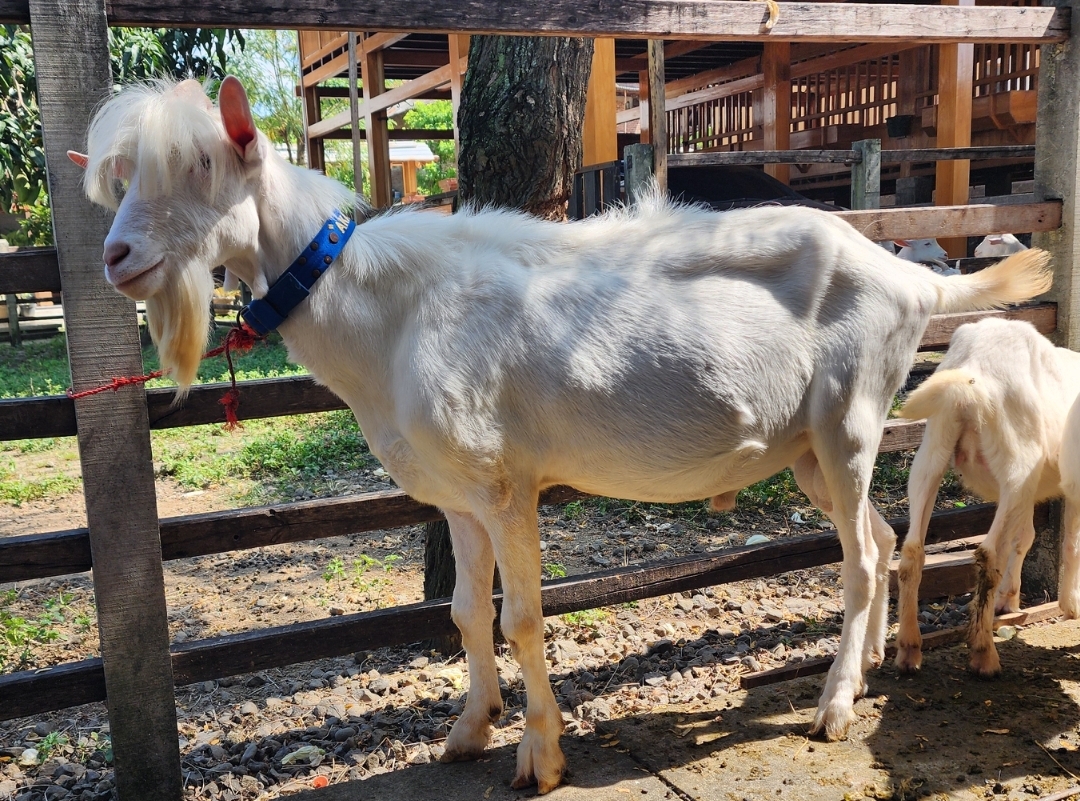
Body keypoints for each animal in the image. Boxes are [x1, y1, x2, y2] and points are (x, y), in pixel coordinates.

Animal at [69, 77, 1052, 793]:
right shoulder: (457, 495)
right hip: (809, 446)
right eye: (122, 179)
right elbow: (465, 612)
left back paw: (836, 704)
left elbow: (523, 616)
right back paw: (883, 656)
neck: (388, 314)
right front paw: (468, 729)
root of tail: (912, 279)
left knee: (859, 557)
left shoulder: (507, 487)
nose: (115, 258)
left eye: (205, 163)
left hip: (848, 419)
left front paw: (539, 755)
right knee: (880, 539)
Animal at [895, 318, 1080, 677]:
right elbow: (1069, 544)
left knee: (912, 552)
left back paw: (909, 649)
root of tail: (973, 372)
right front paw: (1071, 605)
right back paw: (983, 655)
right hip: (1017, 465)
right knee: (987, 553)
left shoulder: (1030, 494)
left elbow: (1023, 538)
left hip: (933, 451)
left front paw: (1008, 599)